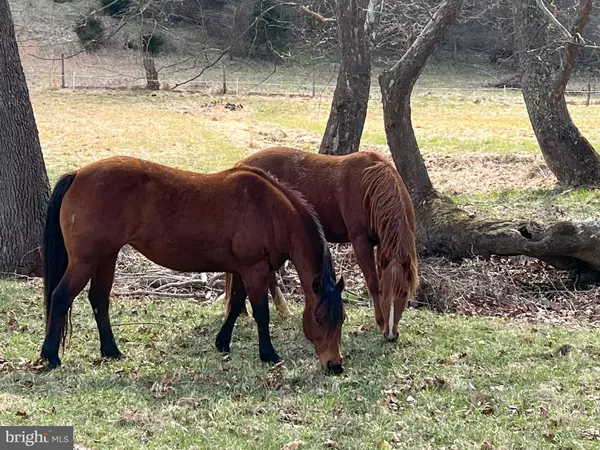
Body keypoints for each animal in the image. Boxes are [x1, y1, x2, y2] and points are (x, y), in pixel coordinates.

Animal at [39, 156, 344, 374]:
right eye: (319, 318)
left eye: (341, 319)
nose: (335, 365)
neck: (269, 210)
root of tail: (78, 174)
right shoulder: (254, 269)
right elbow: (260, 313)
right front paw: (269, 354)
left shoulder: (242, 270)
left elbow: (235, 305)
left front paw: (222, 342)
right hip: (85, 261)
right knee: (61, 297)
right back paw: (51, 355)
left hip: (106, 257)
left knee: (99, 300)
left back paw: (111, 350)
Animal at [225, 148, 418, 342]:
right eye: (385, 291)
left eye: (404, 292)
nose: (391, 334)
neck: (369, 187)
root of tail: (241, 165)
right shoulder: (360, 241)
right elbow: (372, 281)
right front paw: (379, 322)